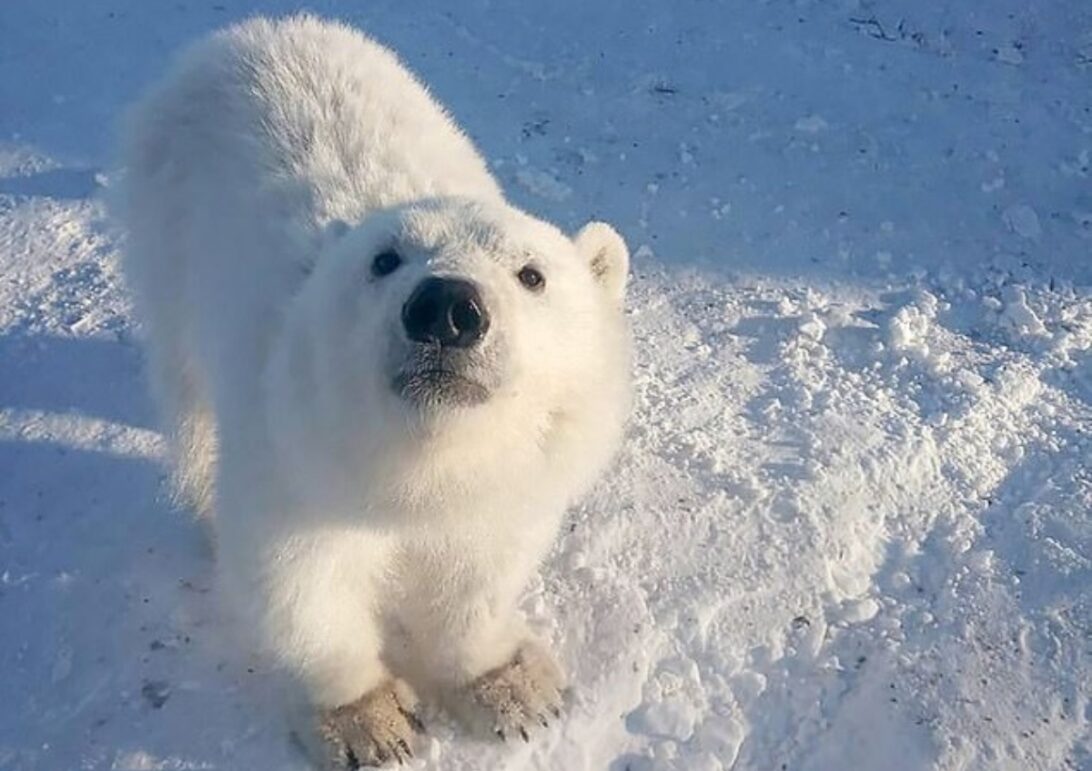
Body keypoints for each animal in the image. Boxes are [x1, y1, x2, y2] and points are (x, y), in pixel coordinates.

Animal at [114, 13, 628, 768]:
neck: (414, 466)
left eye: (532, 273)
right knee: (188, 393)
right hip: (168, 236)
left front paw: (513, 687)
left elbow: (479, 573)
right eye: (384, 259)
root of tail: (247, 31)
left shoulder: (507, 481)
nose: (446, 308)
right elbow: (302, 585)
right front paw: (369, 723)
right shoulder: (296, 462)